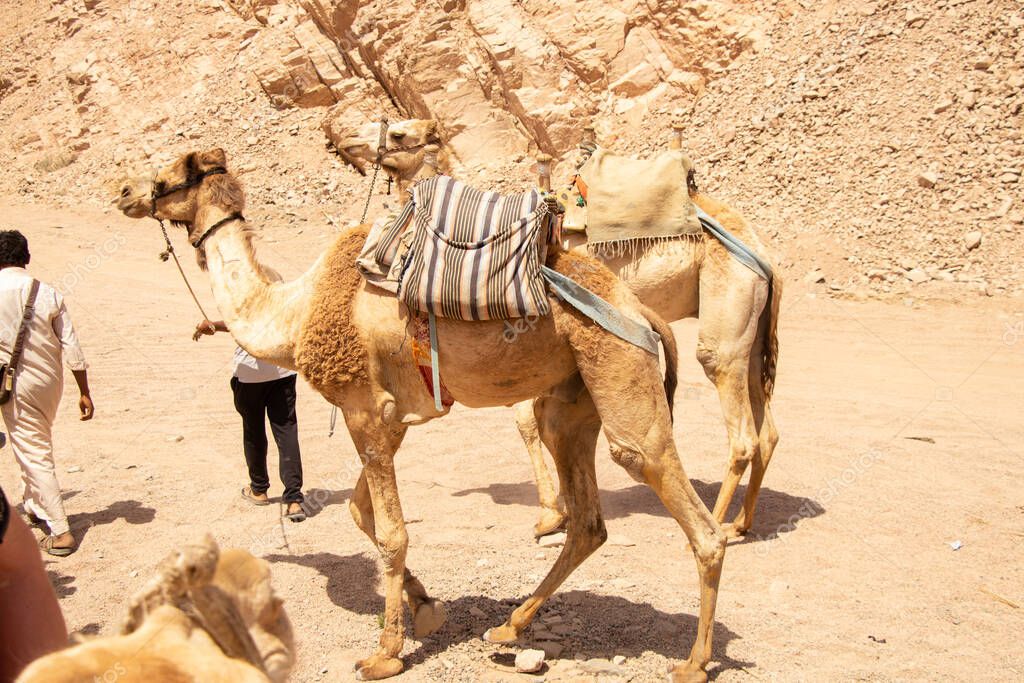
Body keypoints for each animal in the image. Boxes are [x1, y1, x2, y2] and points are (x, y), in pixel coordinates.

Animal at [116, 148, 728, 682]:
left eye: (171, 175)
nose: (123, 191)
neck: (293, 313)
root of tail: (640, 309)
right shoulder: (392, 419)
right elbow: (361, 513)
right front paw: (427, 607)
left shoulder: (363, 409)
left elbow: (389, 532)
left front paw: (385, 651)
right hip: (571, 398)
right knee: (587, 519)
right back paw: (510, 627)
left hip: (618, 366)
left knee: (679, 501)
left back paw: (694, 662)